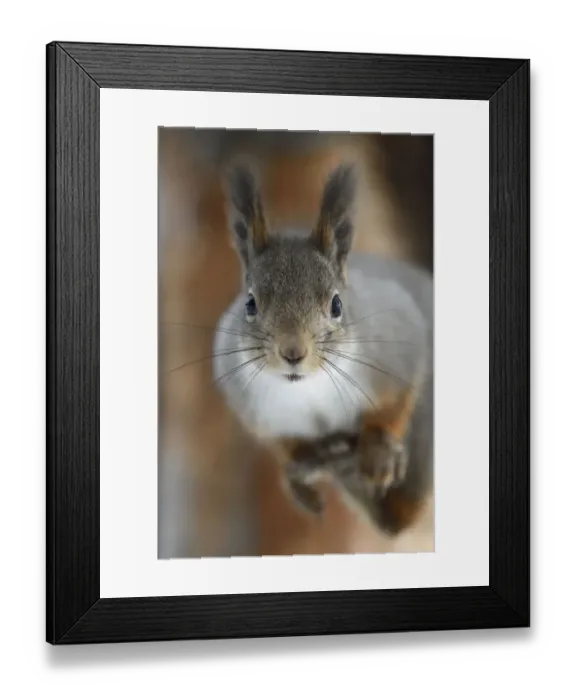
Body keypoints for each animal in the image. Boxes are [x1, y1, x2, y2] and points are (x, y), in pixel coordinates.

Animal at [212, 159, 433, 537]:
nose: (293, 353)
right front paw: (298, 473)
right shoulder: (254, 407)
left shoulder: (397, 347)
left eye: (336, 305)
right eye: (250, 303)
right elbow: (284, 446)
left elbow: (394, 406)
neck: (308, 391)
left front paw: (379, 450)